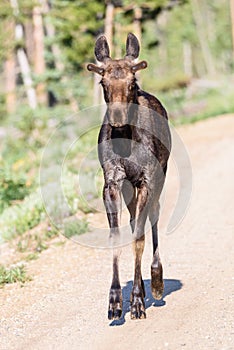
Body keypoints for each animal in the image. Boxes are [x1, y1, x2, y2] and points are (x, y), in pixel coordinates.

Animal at [87, 33, 171, 320]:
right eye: (103, 82)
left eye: (132, 83)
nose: (117, 118)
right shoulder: (112, 182)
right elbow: (116, 236)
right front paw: (114, 301)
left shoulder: (148, 179)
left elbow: (138, 238)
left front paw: (135, 301)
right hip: (129, 187)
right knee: (136, 217)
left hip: (160, 176)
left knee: (153, 217)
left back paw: (155, 281)